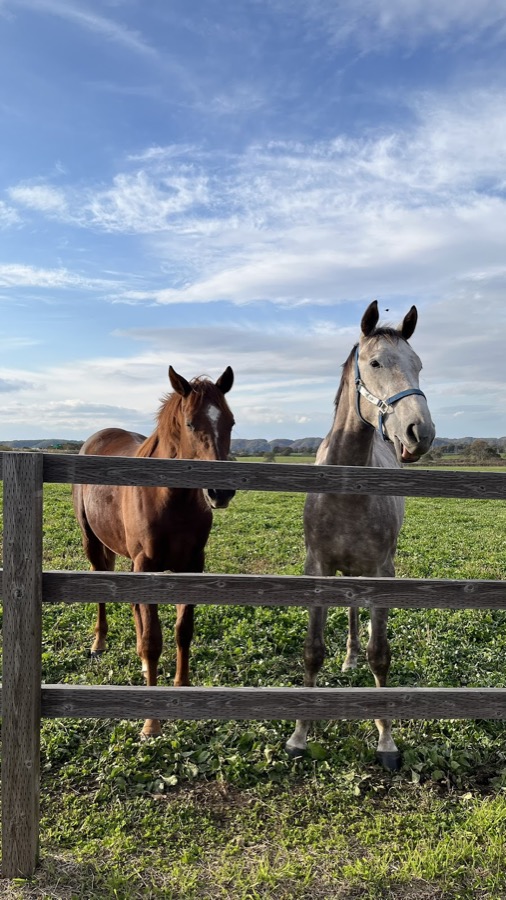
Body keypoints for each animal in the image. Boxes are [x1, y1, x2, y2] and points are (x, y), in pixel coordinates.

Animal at [73, 365, 236, 737]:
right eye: (190, 423)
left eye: (231, 422)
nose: (220, 492)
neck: (170, 499)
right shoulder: (146, 565)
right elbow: (153, 639)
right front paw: (151, 721)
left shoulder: (192, 566)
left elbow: (182, 630)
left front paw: (182, 686)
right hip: (94, 543)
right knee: (102, 589)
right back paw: (99, 643)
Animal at [286, 301, 435, 769]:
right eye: (375, 363)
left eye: (418, 365)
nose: (420, 432)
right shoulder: (316, 570)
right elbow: (313, 651)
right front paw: (299, 735)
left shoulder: (382, 572)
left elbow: (380, 654)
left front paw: (386, 739)